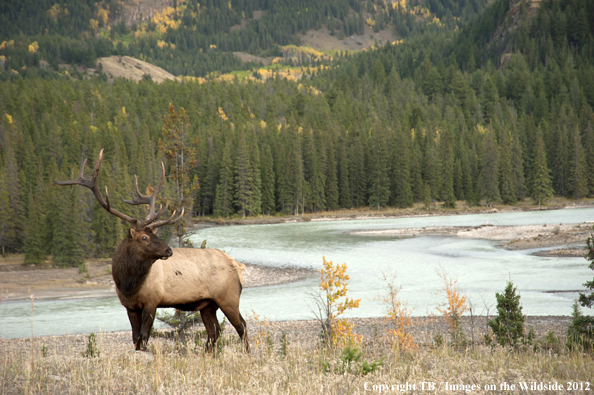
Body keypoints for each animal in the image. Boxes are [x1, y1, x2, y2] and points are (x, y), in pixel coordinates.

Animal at [55, 149, 247, 352]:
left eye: (153, 234)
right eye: (145, 238)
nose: (169, 250)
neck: (128, 283)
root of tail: (238, 265)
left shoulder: (152, 301)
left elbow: (144, 337)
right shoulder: (130, 307)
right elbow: (135, 339)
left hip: (229, 297)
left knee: (241, 326)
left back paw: (247, 352)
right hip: (207, 304)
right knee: (214, 331)